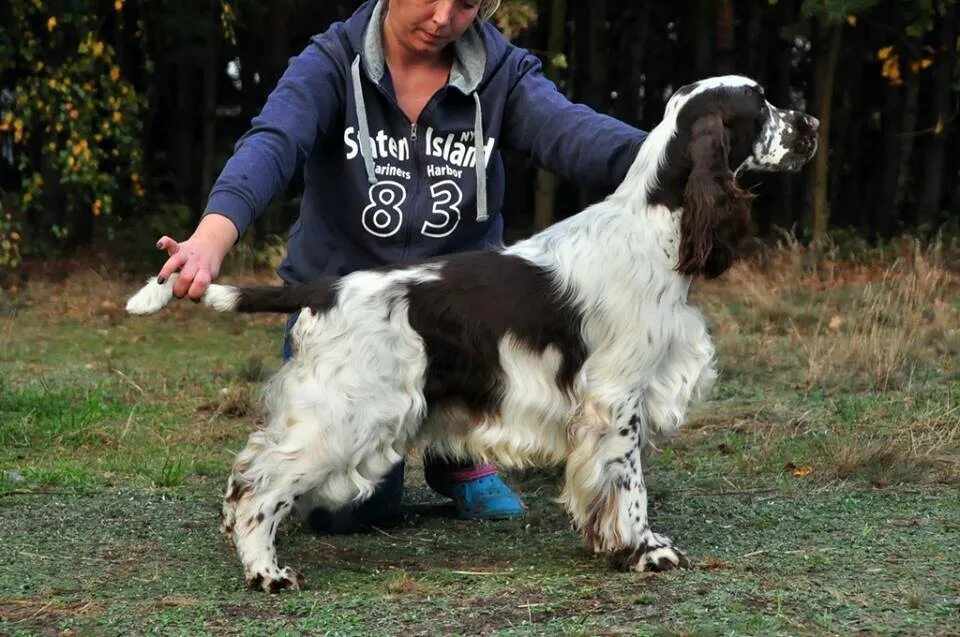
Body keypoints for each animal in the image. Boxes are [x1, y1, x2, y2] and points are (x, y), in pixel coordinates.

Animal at [127, 76, 816, 592]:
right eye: (761, 105)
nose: (810, 124)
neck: (656, 227)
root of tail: (329, 289)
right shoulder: (616, 398)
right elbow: (629, 483)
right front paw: (644, 550)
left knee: (250, 464)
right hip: (350, 413)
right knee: (261, 482)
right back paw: (266, 571)